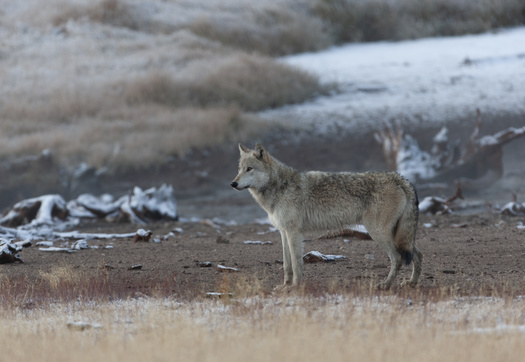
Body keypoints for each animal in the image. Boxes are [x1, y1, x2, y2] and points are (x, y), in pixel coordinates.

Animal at [229, 144, 422, 288]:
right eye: (239, 169)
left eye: (249, 169)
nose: (233, 183)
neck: (279, 187)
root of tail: (400, 178)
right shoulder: (283, 232)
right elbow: (287, 265)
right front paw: (285, 285)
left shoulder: (294, 233)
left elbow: (296, 265)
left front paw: (295, 287)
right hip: (397, 236)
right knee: (417, 254)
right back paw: (411, 282)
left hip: (378, 233)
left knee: (398, 258)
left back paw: (386, 285)